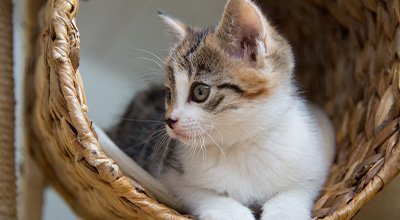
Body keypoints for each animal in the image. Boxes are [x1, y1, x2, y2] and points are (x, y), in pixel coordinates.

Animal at [110, 0, 334, 219]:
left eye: (200, 92)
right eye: (169, 94)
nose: (169, 120)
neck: (242, 145)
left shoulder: (316, 158)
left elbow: (298, 189)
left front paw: (285, 211)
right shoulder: (170, 174)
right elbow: (203, 194)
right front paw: (232, 212)